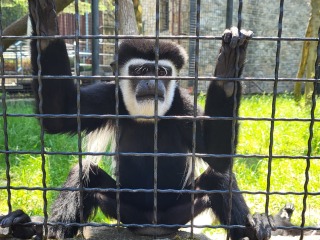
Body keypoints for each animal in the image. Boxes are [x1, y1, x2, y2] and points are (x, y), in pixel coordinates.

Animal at [0, 0, 276, 240]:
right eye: (142, 70)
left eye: (161, 71)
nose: (152, 82)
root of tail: (153, 227)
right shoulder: (109, 98)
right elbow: (59, 114)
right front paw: (46, 23)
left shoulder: (183, 105)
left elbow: (217, 155)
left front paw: (229, 67)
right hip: (128, 211)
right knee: (84, 172)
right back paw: (42, 229)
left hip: (178, 213)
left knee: (219, 179)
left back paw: (252, 229)